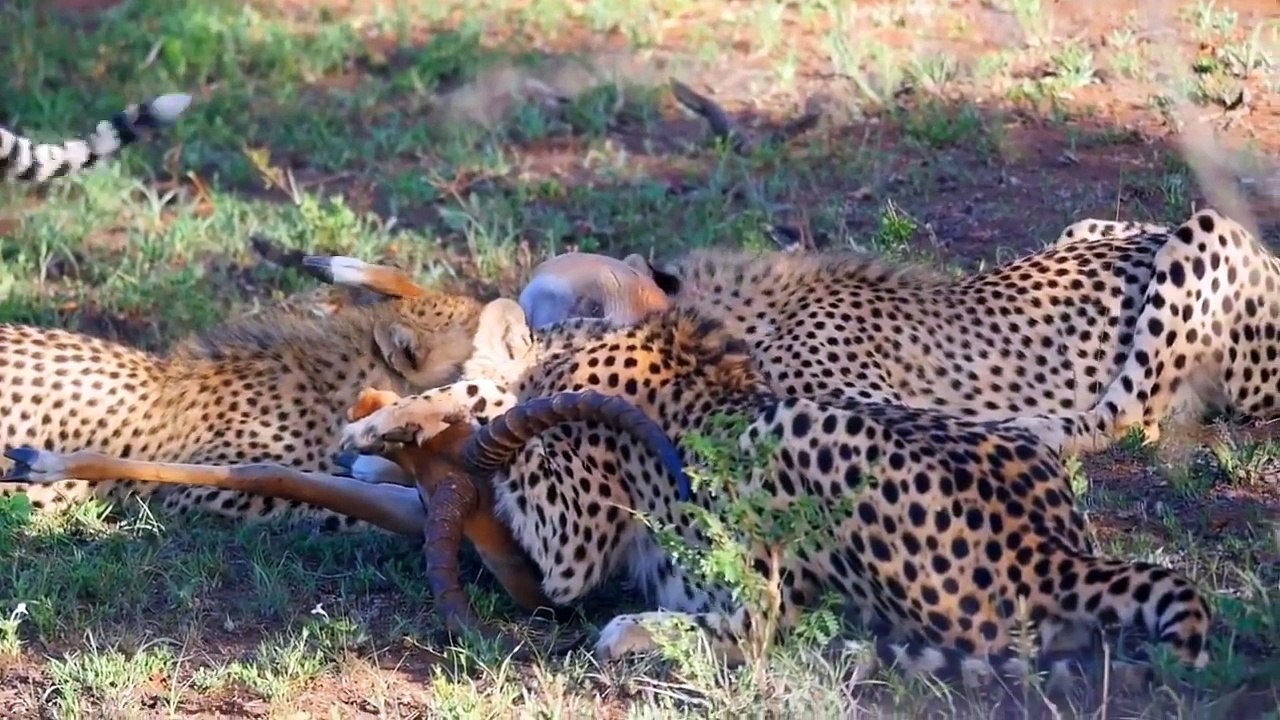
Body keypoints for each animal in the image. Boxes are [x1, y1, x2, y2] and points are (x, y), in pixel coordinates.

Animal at [335, 297, 1212, 687]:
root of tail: (1059, 549)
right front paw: (380, 450)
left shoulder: (571, 545)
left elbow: (489, 405)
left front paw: (394, 422)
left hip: (796, 427)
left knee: (767, 620)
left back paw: (640, 631)